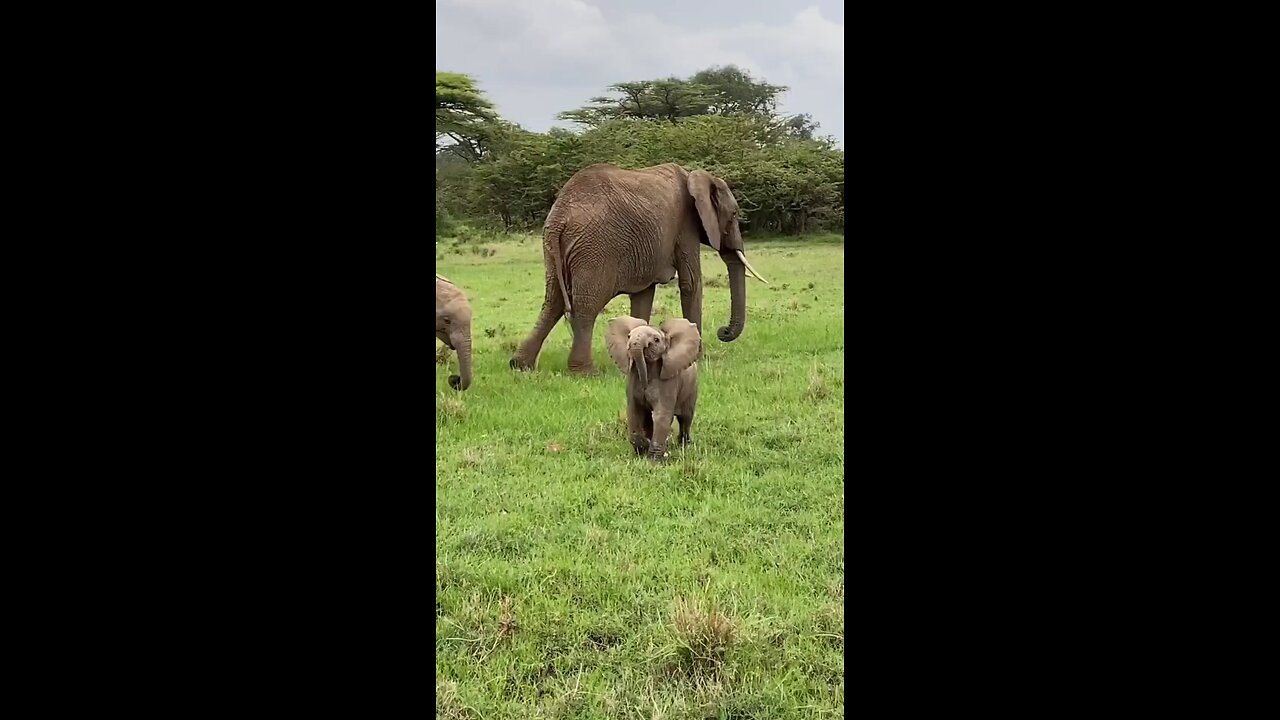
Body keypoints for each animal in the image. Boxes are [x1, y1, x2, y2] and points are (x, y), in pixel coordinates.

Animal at [509, 163, 768, 376]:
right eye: (733, 214)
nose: (723, 332)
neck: (696, 176)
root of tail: (560, 216)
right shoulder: (686, 226)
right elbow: (691, 283)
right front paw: (695, 359)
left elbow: (644, 295)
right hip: (595, 250)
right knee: (585, 307)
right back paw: (585, 373)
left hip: (553, 248)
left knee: (552, 302)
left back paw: (520, 366)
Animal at [606, 313, 706, 458]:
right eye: (628, 336)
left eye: (656, 340)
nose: (644, 387)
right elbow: (635, 411)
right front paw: (642, 450)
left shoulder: (668, 382)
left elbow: (661, 414)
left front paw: (654, 459)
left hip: (692, 387)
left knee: (685, 417)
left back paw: (684, 445)